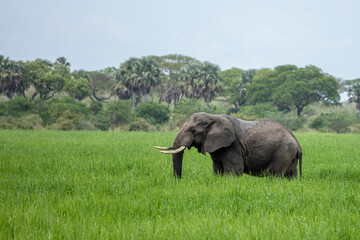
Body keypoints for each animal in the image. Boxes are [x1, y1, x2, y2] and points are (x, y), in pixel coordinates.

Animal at [155, 112, 300, 178]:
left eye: (193, 131)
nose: (178, 180)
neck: (213, 117)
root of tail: (298, 144)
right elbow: (217, 169)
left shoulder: (233, 146)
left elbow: (234, 171)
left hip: (283, 152)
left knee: (273, 175)